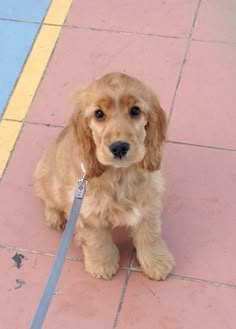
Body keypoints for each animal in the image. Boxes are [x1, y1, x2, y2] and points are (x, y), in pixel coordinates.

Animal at [33, 72, 174, 280]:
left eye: (135, 110)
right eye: (99, 114)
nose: (119, 147)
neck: (119, 174)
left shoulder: (149, 201)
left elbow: (150, 234)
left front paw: (157, 262)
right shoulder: (87, 211)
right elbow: (97, 239)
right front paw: (102, 264)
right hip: (45, 177)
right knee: (49, 199)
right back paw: (55, 217)